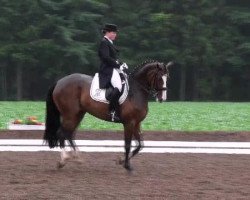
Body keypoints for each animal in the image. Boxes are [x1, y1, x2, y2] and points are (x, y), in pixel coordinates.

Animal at [43, 60, 172, 170]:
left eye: (167, 78)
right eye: (159, 77)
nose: (162, 98)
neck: (136, 91)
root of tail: (59, 82)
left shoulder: (136, 123)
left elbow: (140, 145)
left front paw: (121, 161)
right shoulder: (129, 123)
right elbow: (128, 144)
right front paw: (127, 166)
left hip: (78, 114)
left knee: (69, 134)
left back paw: (76, 158)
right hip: (69, 115)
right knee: (61, 133)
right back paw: (63, 160)